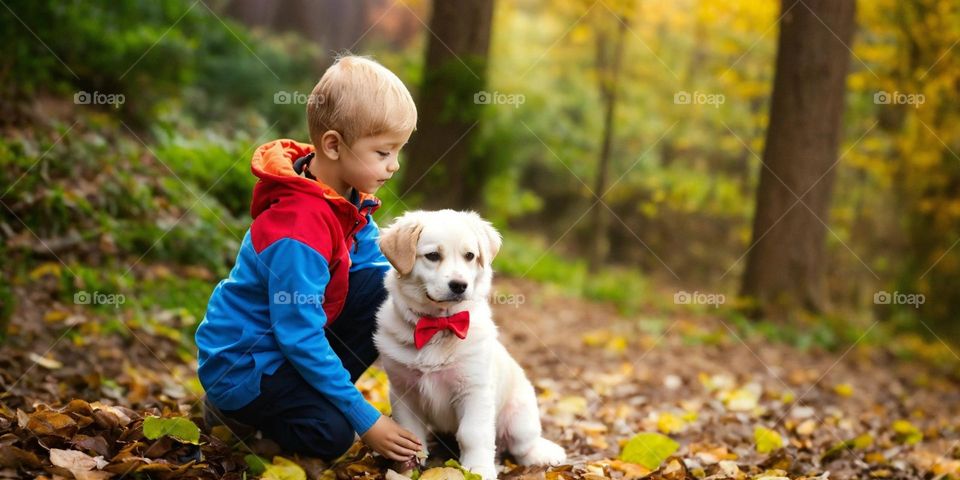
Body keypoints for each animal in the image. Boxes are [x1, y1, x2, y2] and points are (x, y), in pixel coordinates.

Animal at [374, 210, 568, 480]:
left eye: (469, 256)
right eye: (433, 256)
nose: (459, 285)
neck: (439, 325)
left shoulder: (474, 390)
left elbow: (472, 434)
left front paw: (478, 469)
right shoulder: (403, 391)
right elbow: (410, 436)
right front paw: (405, 470)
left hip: (520, 417)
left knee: (522, 447)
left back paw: (539, 456)